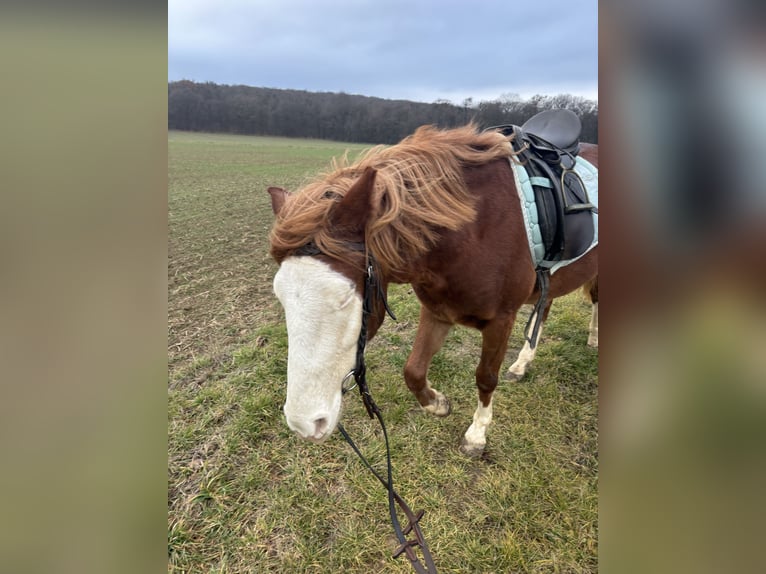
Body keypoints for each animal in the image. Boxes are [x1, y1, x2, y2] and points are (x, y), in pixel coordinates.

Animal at [268, 124, 600, 456]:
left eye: (346, 297)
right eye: (280, 297)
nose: (304, 423)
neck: (471, 232)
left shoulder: (501, 320)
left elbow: (486, 377)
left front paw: (476, 435)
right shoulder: (437, 311)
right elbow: (413, 370)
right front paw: (438, 404)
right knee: (545, 309)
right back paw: (523, 364)